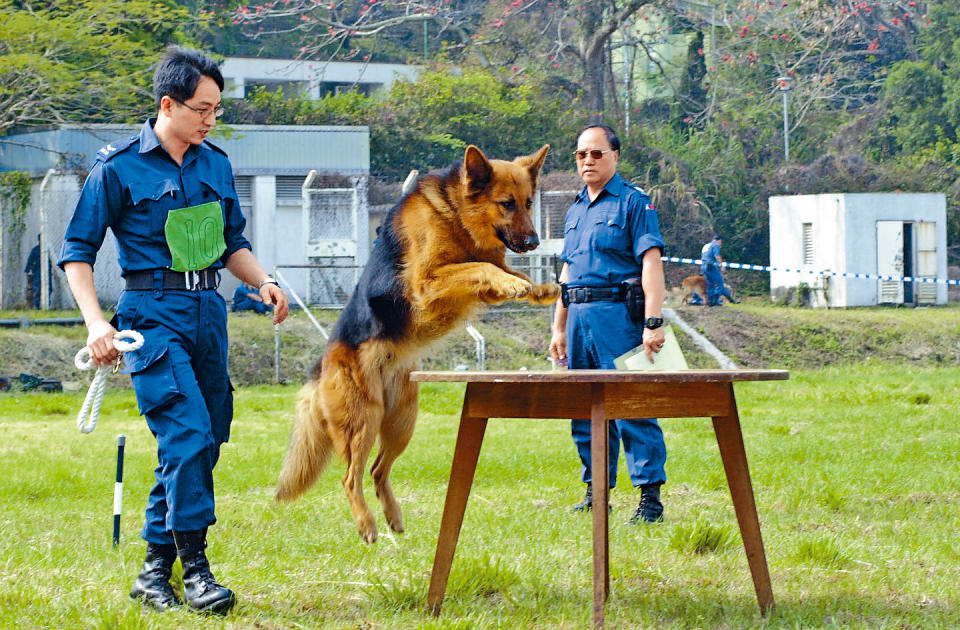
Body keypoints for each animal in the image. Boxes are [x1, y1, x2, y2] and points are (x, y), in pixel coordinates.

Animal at [274, 143, 560, 544]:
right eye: (506, 204)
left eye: (529, 203)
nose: (534, 243)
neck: (455, 215)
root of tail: (321, 367)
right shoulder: (429, 283)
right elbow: (481, 267)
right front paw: (520, 283)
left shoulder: (476, 281)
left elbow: (502, 270)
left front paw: (538, 287)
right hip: (363, 422)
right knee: (350, 477)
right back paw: (366, 523)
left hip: (401, 422)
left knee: (377, 471)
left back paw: (393, 516)